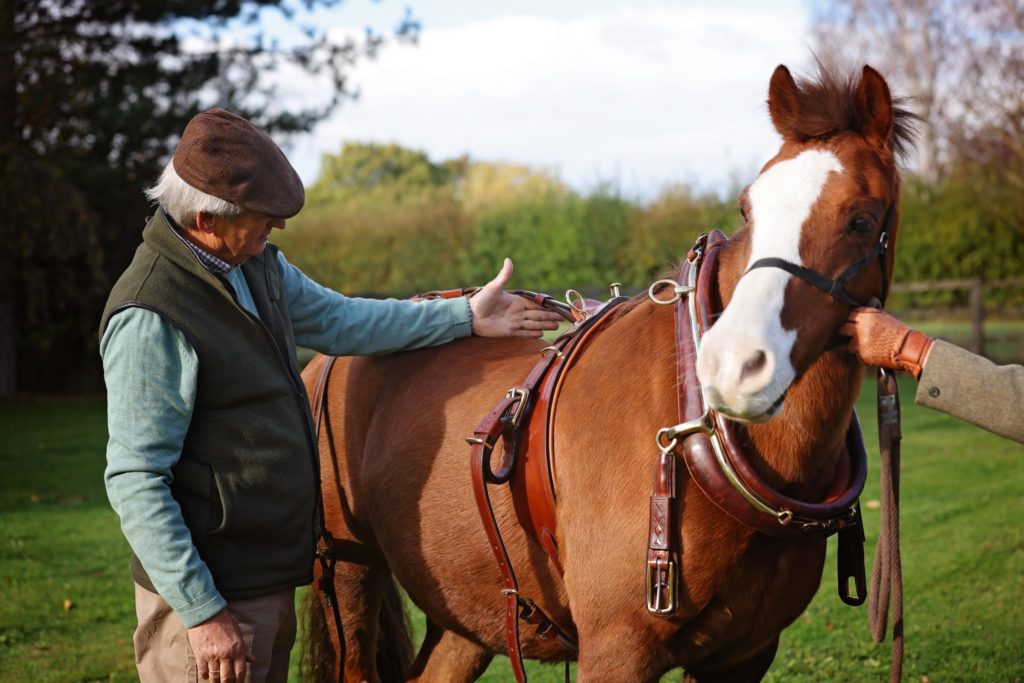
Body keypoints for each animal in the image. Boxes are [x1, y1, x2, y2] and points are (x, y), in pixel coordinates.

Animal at [299, 61, 917, 679]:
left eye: (861, 221)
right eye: (749, 209)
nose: (733, 364)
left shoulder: (746, 653)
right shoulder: (618, 649)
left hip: (465, 611)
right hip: (349, 572)